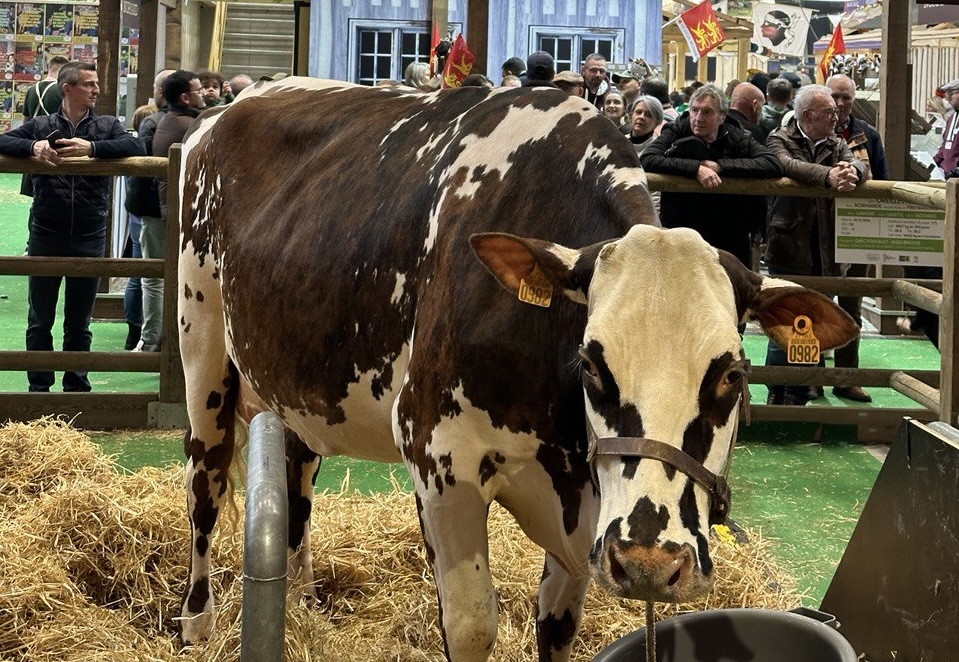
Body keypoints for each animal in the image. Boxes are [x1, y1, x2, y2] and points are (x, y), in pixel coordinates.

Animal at [176, 76, 860, 660]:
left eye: (733, 375)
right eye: (590, 364)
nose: (648, 563)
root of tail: (233, 104)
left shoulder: (584, 520)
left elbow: (556, 626)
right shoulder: (438, 457)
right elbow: (472, 624)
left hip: (297, 389)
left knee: (296, 479)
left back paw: (302, 601)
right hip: (202, 347)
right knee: (205, 482)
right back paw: (195, 623)